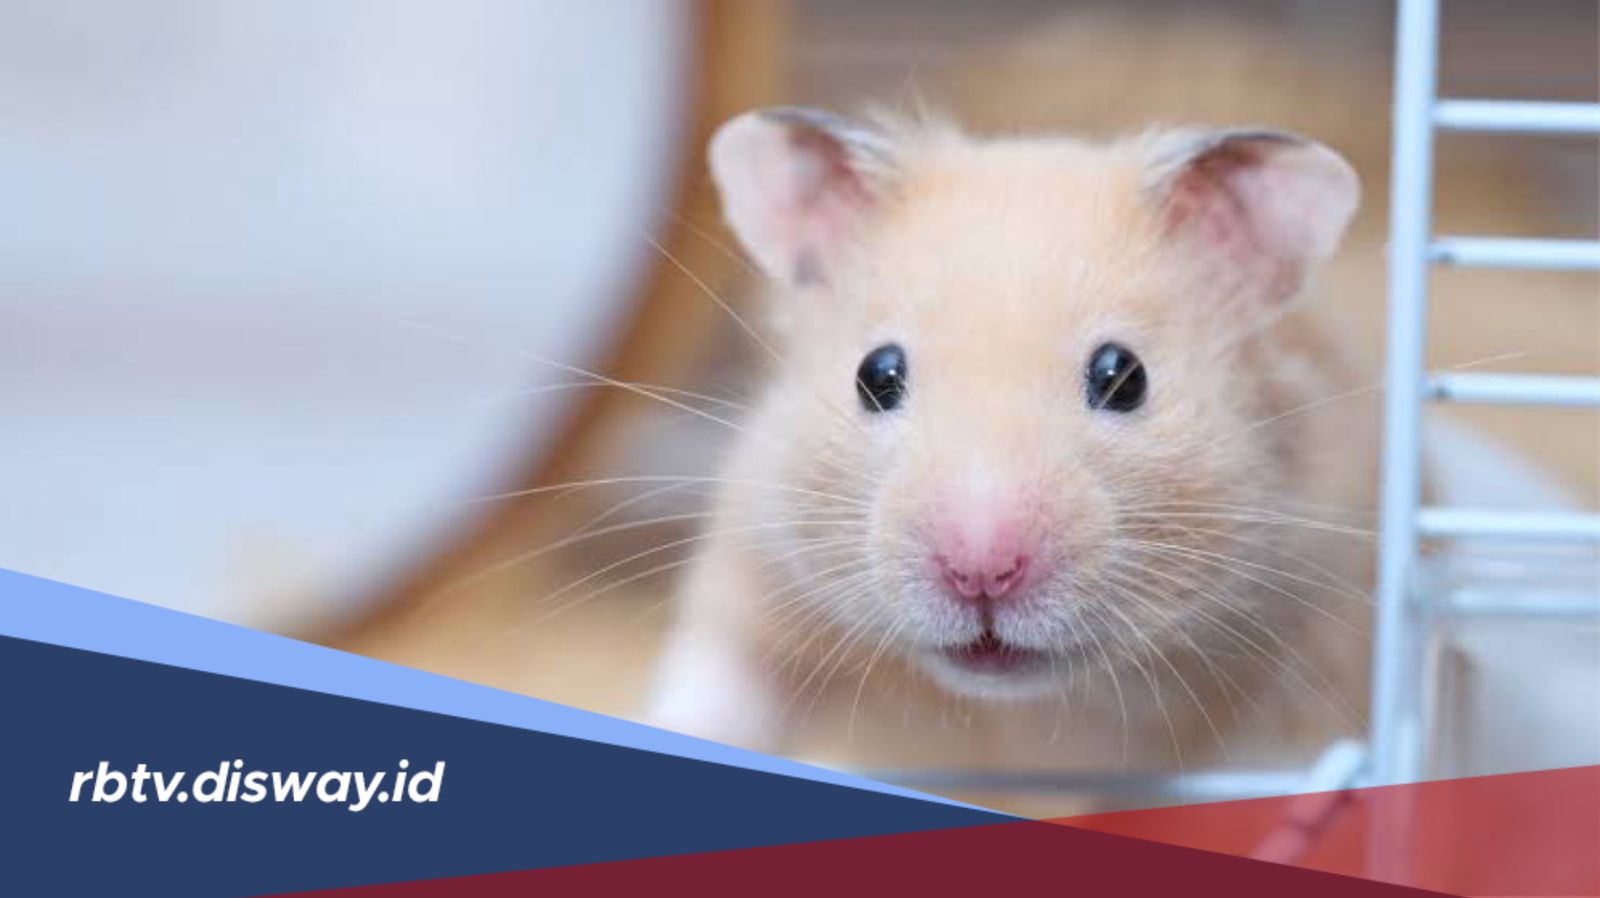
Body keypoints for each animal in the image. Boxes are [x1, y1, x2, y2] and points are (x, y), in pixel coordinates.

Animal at [646, 107, 1377, 786]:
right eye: (876, 373)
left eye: (1123, 375)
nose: (981, 571)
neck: (1018, 710)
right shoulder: (755, 572)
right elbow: (723, 688)